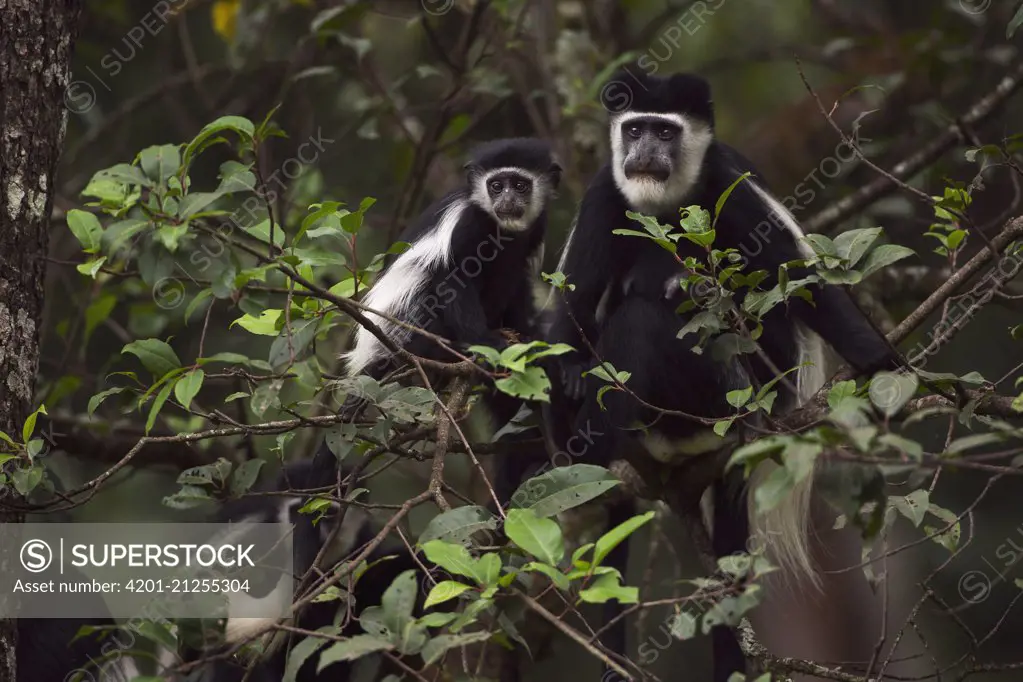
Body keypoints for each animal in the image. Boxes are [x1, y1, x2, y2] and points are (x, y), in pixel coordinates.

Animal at [544, 67, 904, 678]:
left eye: (665, 132)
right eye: (635, 128)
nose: (643, 152)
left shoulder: (729, 187)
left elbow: (801, 283)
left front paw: (876, 359)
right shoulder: (604, 196)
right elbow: (573, 309)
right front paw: (568, 377)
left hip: (739, 389)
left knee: (655, 317)